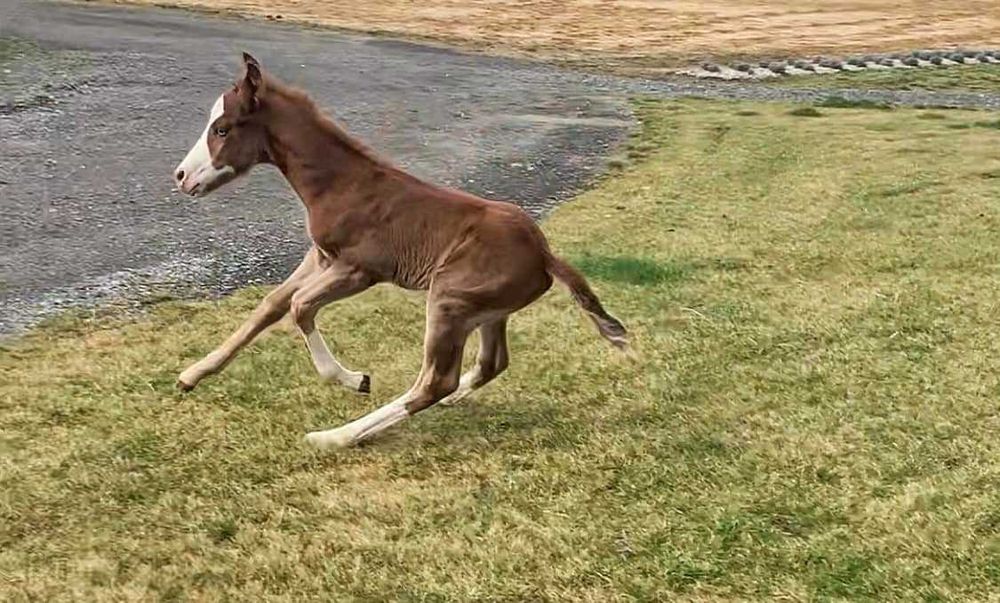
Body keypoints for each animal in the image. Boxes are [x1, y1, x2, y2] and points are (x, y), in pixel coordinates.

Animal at [172, 53, 624, 448]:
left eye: (223, 129)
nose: (181, 176)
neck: (342, 183)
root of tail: (545, 254)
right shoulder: (320, 256)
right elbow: (271, 305)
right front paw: (192, 374)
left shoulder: (359, 269)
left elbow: (300, 307)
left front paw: (354, 379)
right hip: (487, 310)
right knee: (490, 364)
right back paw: (450, 399)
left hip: (449, 299)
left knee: (433, 382)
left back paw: (334, 437)